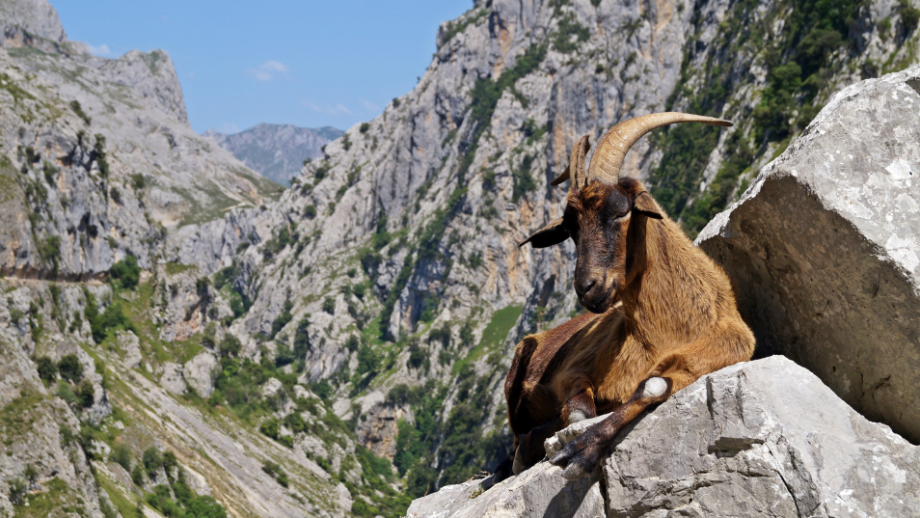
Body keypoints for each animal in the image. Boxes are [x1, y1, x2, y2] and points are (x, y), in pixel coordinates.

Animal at [496, 112, 756, 484]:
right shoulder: (573, 370)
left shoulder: (719, 355)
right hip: (520, 362)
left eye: (621, 212)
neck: (670, 329)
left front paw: (581, 450)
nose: (587, 286)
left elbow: (653, 387)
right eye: (571, 229)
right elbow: (577, 412)